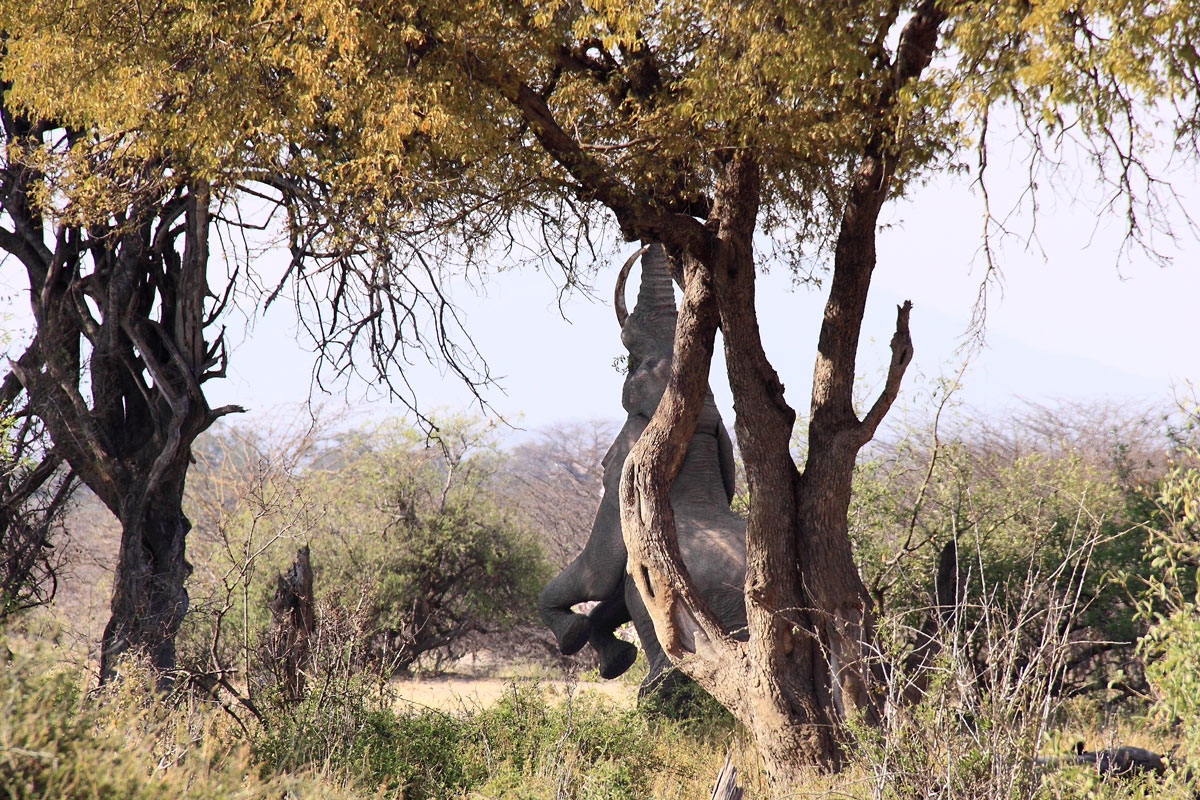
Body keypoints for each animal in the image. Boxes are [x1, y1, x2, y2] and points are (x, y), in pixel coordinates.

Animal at [536, 244, 747, 692]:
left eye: (634, 366)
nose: (650, 244)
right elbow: (618, 592)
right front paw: (615, 660)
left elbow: (598, 575)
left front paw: (573, 636)